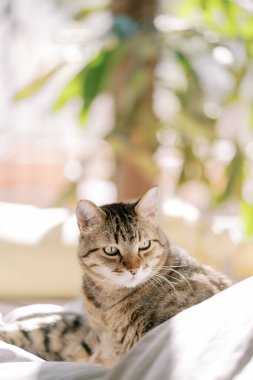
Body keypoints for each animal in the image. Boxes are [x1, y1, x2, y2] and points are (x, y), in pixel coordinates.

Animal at [0, 187, 230, 366]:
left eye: (144, 245)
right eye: (111, 250)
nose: (134, 268)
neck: (106, 306)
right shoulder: (89, 338)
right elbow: (35, 333)